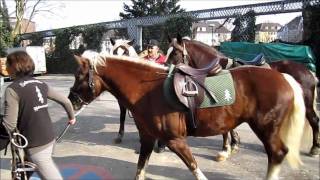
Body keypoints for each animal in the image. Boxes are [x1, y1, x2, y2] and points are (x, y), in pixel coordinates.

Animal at [68, 52, 304, 180]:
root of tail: (283, 77)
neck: (148, 90)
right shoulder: (148, 138)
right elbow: (140, 168)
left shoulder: (175, 141)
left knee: (277, 153)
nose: (71, 100)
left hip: (266, 128)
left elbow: (194, 168)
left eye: (79, 76)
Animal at [166, 35, 318, 158]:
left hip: (306, 105)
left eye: (175, 52)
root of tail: (308, 71)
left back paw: (315, 148)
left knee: (314, 120)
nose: (165, 68)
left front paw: (227, 148)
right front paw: (233, 143)